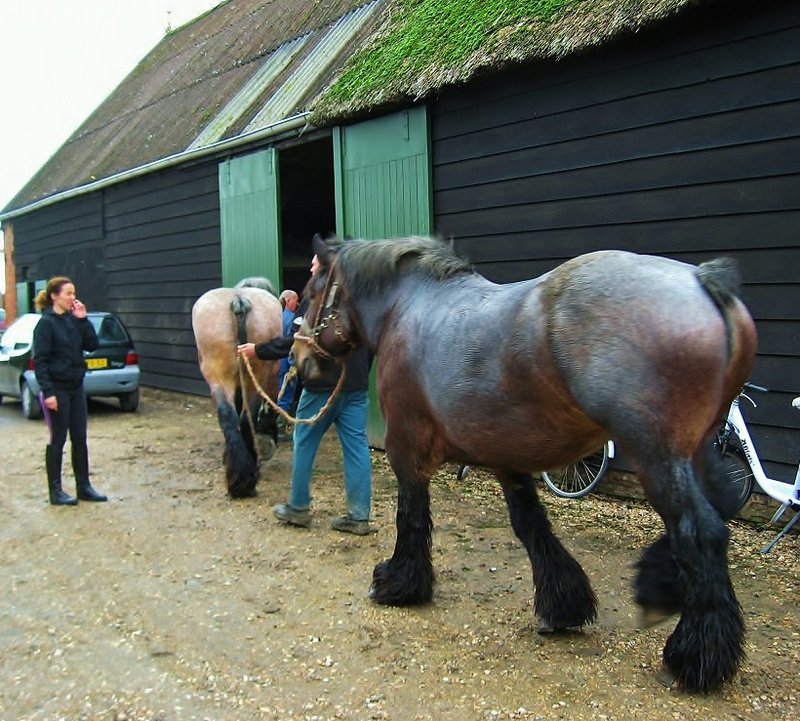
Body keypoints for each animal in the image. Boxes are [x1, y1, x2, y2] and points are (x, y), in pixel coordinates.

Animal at [192, 277, 283, 497]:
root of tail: (239, 300)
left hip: (230, 378)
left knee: (237, 415)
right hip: (240, 378)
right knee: (237, 416)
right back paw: (243, 476)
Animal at [292, 234, 757, 693]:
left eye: (311, 293)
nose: (299, 362)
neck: (410, 306)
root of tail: (703, 282)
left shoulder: (407, 450)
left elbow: (411, 517)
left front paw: (397, 584)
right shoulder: (505, 457)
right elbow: (530, 524)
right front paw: (563, 606)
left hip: (657, 457)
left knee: (700, 531)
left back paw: (693, 656)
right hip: (697, 450)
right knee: (719, 506)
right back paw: (658, 589)